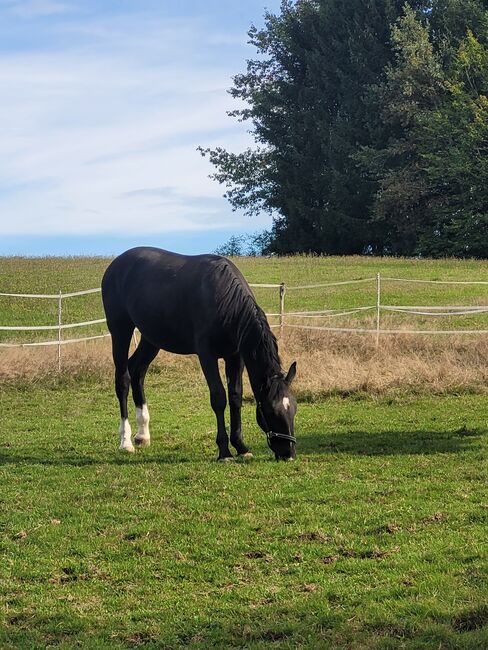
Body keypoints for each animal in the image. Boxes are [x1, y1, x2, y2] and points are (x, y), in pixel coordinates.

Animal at [101, 246, 296, 458]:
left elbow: (235, 397)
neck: (225, 300)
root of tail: (115, 265)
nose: (289, 454)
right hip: (120, 330)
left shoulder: (235, 357)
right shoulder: (207, 356)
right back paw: (126, 441)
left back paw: (143, 435)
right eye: (271, 411)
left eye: (294, 409)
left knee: (137, 371)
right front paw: (224, 451)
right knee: (123, 379)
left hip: (151, 339)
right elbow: (218, 397)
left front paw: (241, 447)